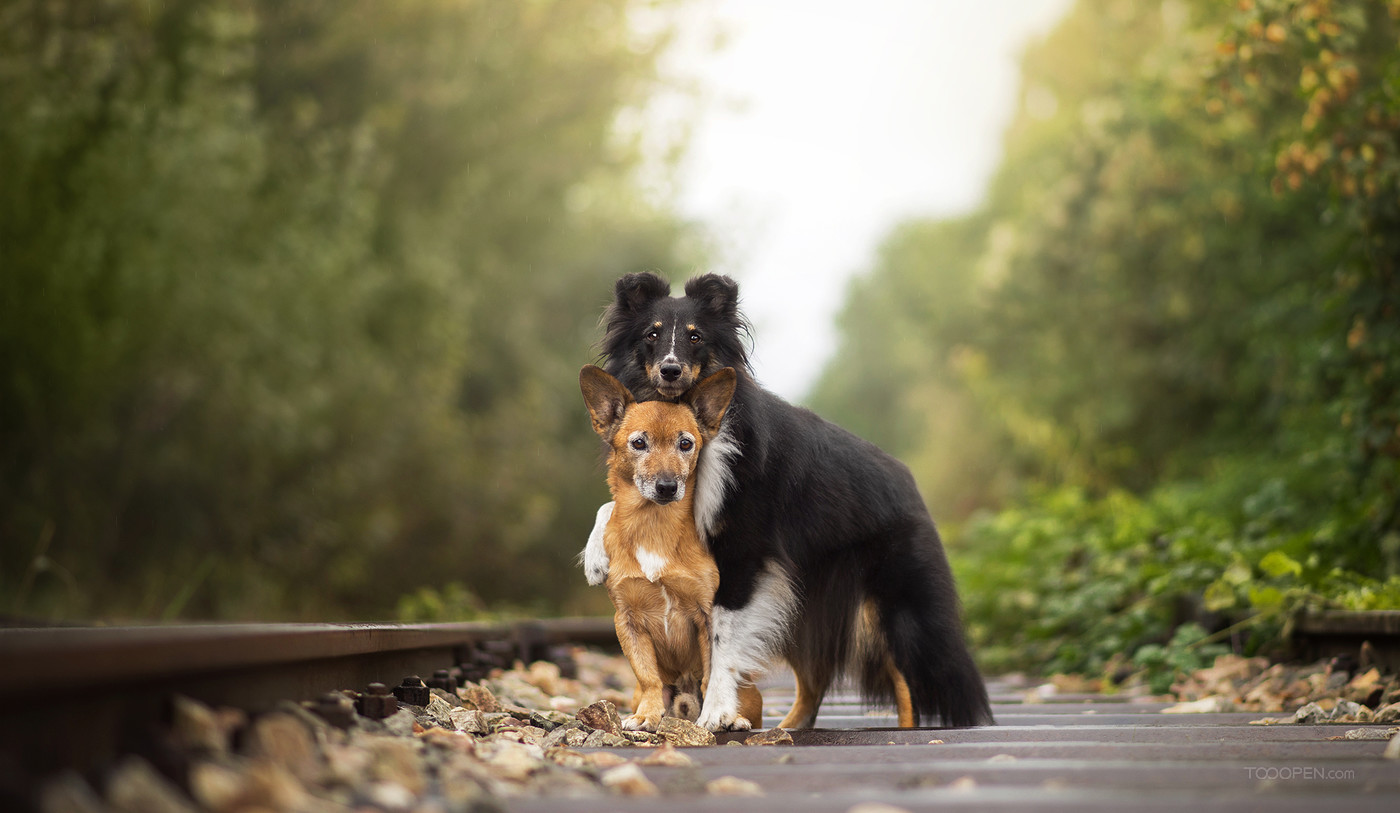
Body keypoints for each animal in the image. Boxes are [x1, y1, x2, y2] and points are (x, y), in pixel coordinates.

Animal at [574, 363, 761, 733]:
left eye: (686, 443)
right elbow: (648, 675)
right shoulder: (627, 621)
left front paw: (716, 714)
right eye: (639, 443)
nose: (667, 486)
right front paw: (647, 714)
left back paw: (735, 717)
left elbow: (712, 673)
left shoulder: (706, 616)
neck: (653, 525)